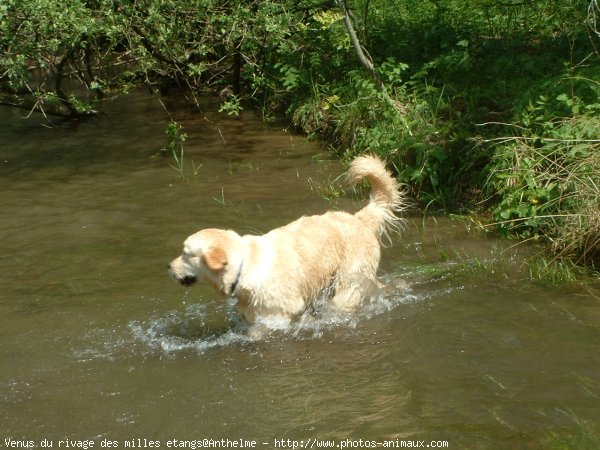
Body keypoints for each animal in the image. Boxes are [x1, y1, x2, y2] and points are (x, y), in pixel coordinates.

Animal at [166, 155, 406, 326]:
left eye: (186, 254)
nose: (168, 267)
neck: (245, 265)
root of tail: (359, 218)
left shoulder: (281, 311)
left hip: (347, 282)